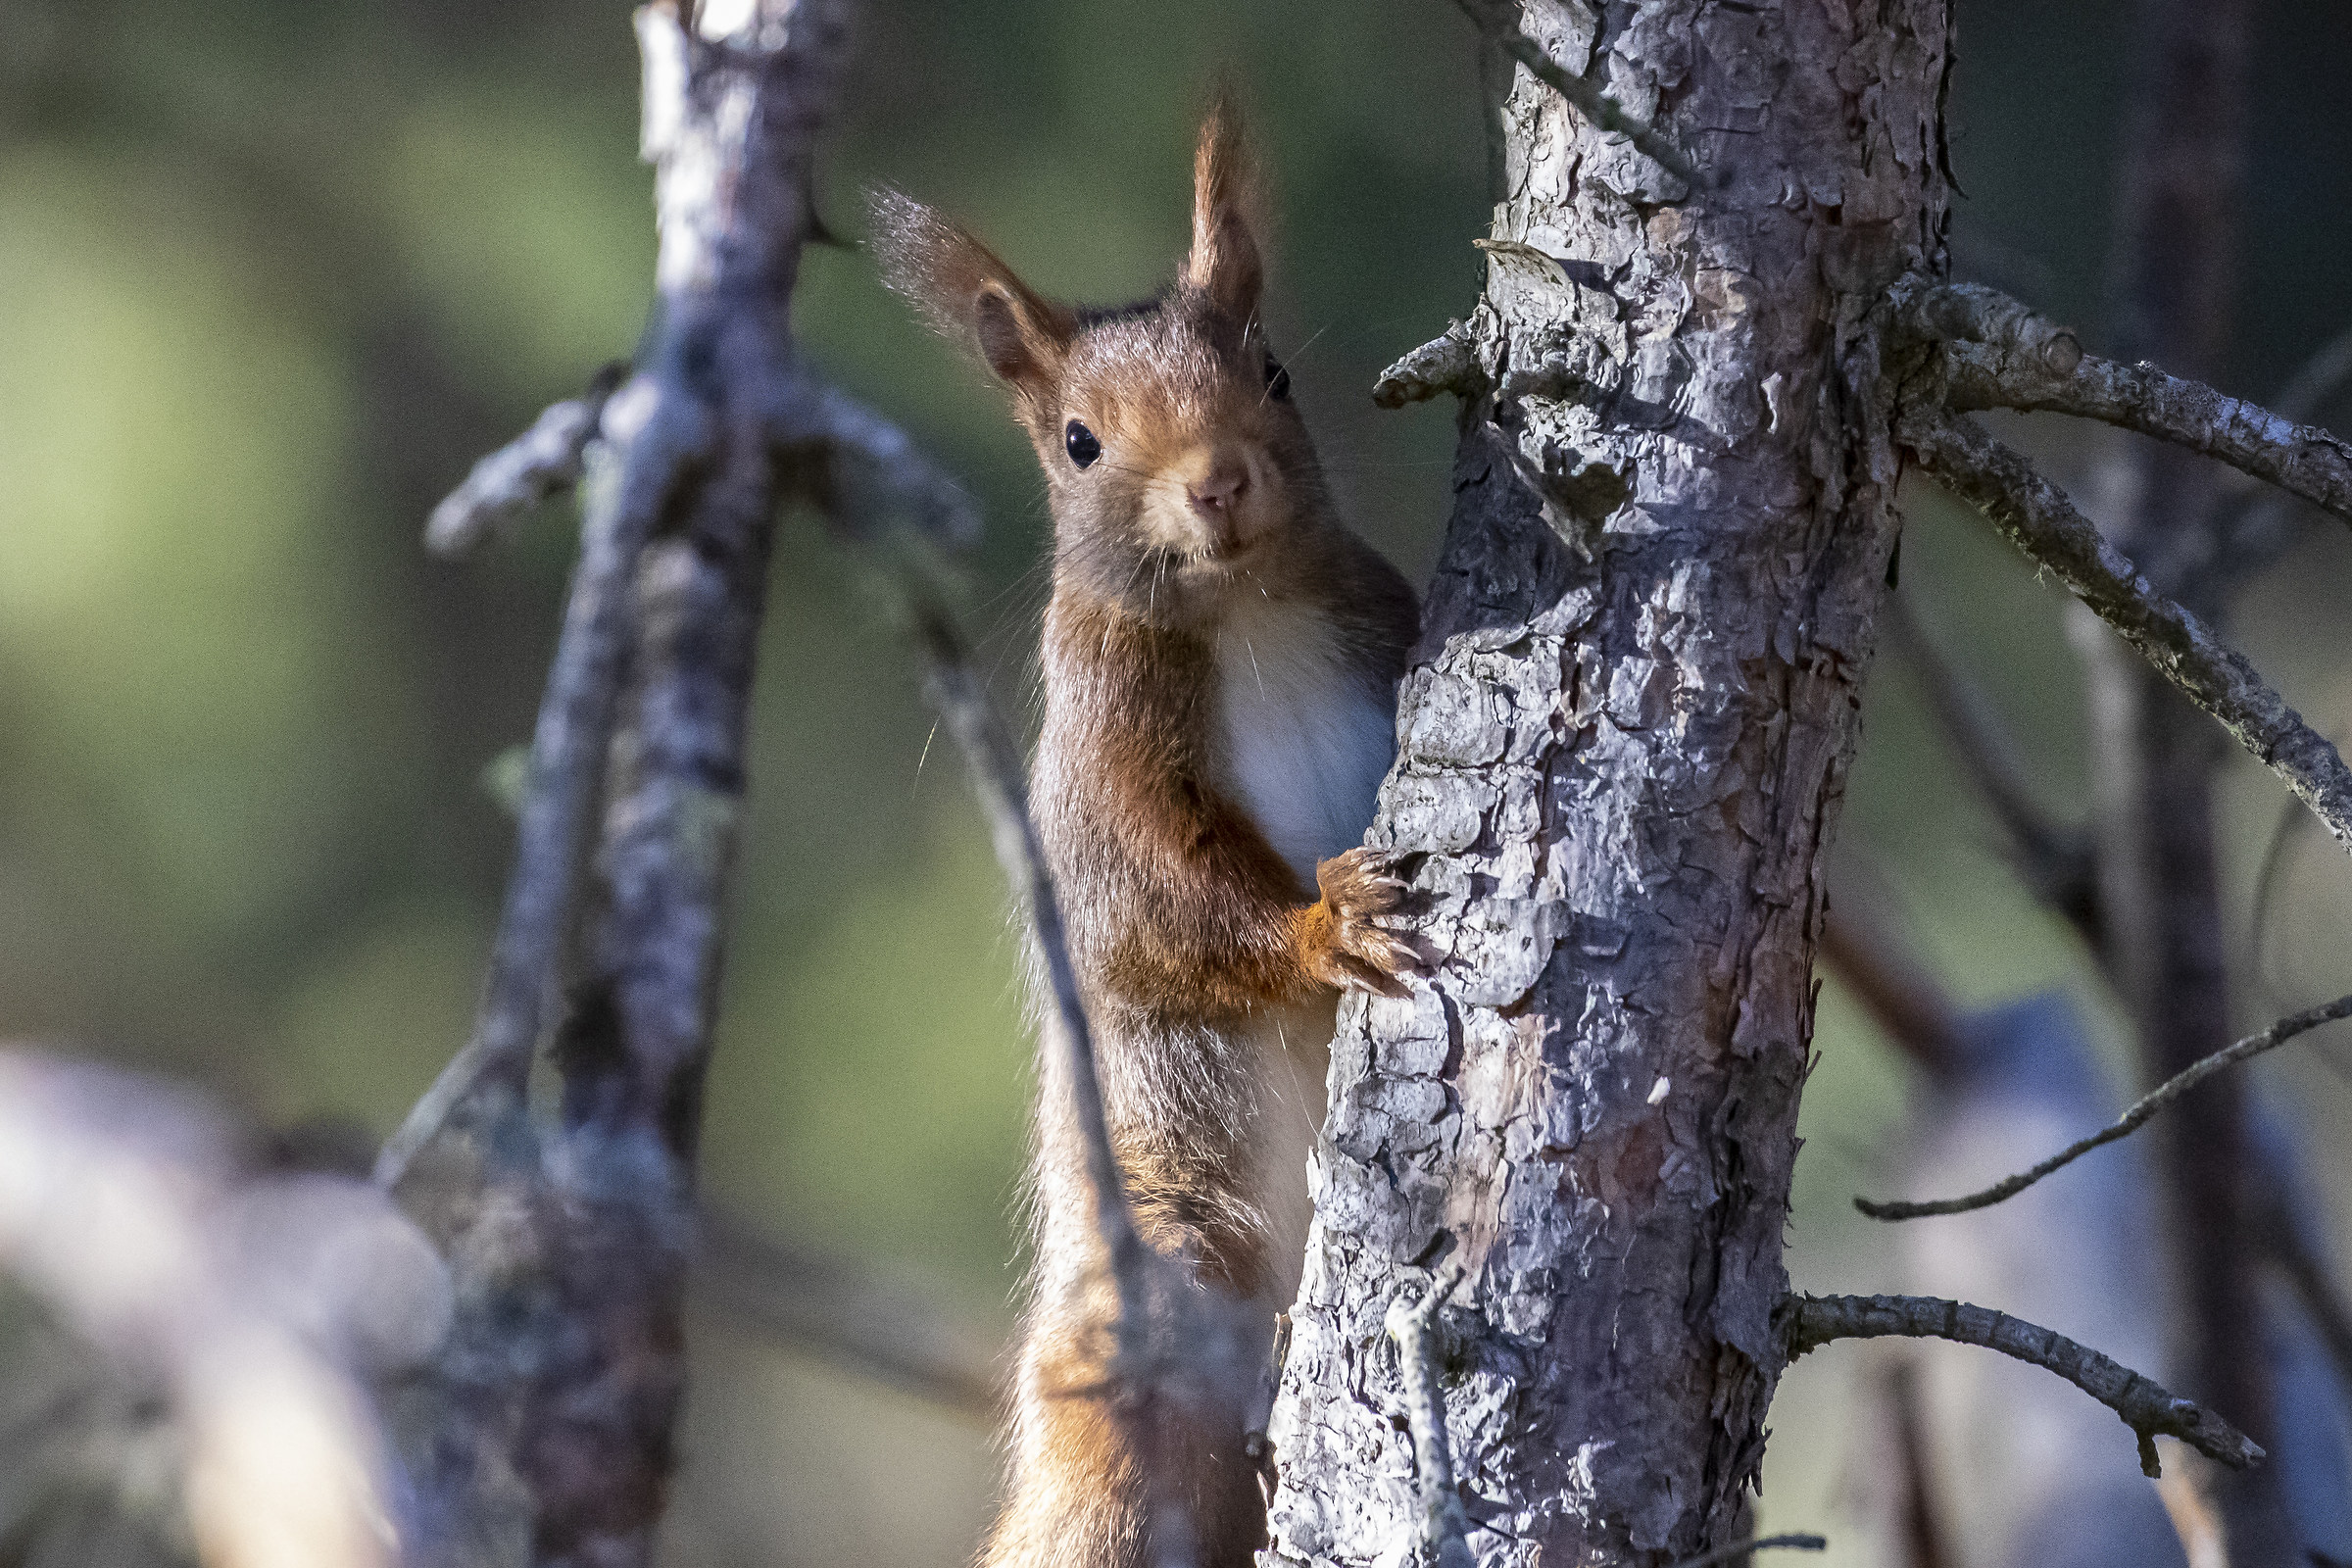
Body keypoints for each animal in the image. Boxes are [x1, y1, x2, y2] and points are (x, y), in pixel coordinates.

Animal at [871, 99, 1420, 1568]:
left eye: (1272, 372)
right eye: (1078, 441)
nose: (1216, 483)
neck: (1249, 612)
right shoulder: (1099, 764)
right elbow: (1158, 913)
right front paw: (1327, 922)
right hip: (1158, 1270)